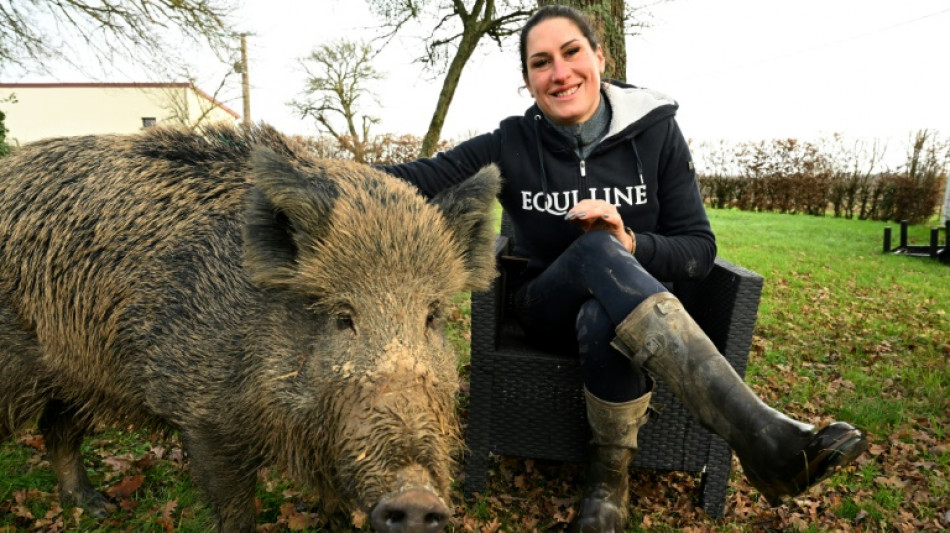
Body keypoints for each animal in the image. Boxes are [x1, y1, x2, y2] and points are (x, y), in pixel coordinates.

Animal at [0, 123, 500, 532]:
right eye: (342, 316)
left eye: (432, 316)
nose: (416, 500)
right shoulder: (201, 414)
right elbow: (236, 510)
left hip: (76, 373)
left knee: (58, 429)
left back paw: (98, 508)